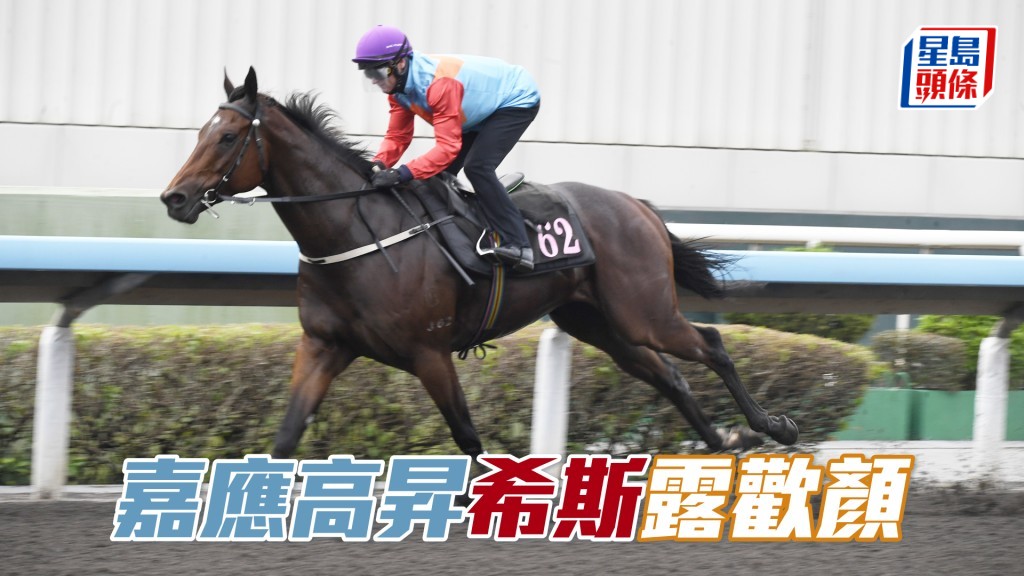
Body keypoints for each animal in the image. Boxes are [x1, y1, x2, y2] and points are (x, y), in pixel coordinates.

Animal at [160, 67, 798, 462]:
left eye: (228, 138)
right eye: (202, 132)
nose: (174, 198)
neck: (355, 234)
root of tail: (635, 204)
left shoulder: (429, 352)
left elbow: (466, 435)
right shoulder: (324, 345)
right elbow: (286, 435)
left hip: (644, 311)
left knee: (711, 345)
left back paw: (770, 427)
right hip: (598, 322)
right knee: (669, 376)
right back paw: (720, 444)